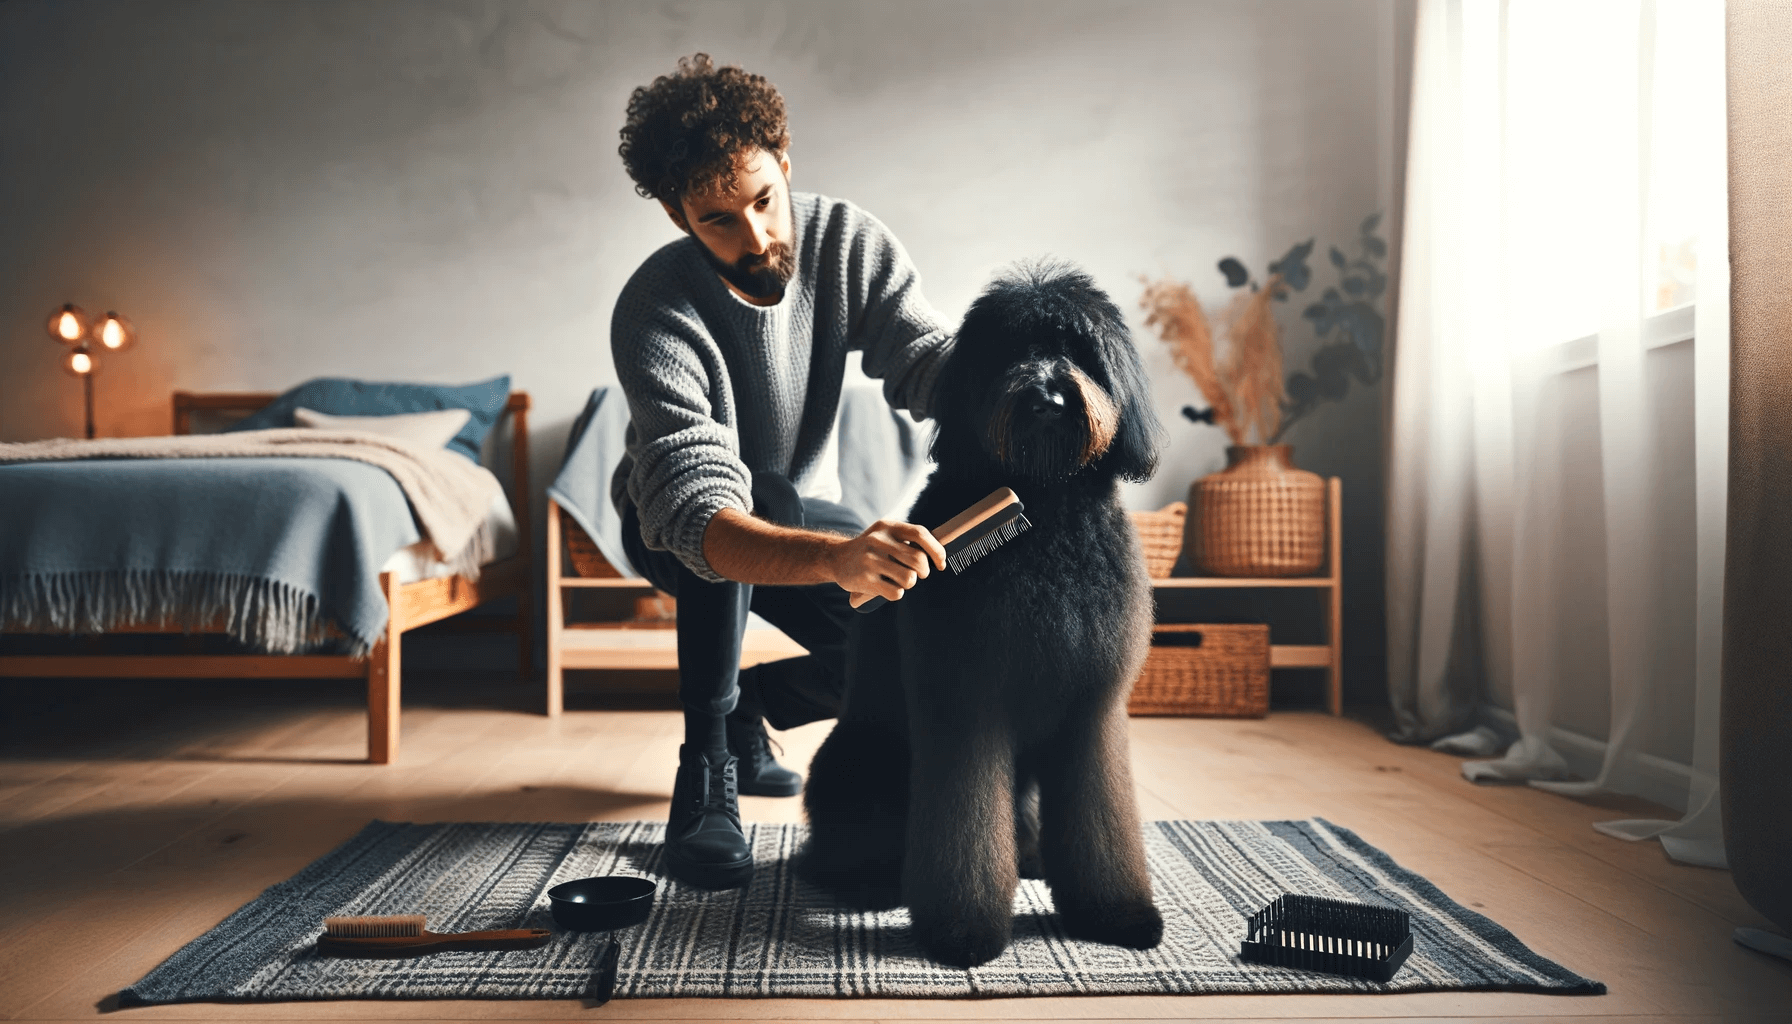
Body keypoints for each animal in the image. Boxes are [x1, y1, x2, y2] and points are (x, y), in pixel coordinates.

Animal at [799, 261, 1161, 968]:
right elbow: (963, 832)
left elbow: (1100, 823)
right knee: (837, 847)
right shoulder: (966, 707)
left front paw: (1115, 914)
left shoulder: (1091, 712)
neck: (1046, 517)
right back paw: (866, 884)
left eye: (1078, 346)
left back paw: (1033, 860)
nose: (1048, 398)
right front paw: (961, 931)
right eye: (1009, 349)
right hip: (857, 760)